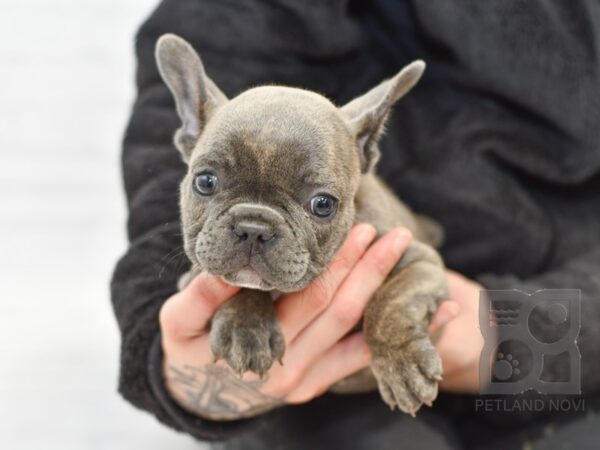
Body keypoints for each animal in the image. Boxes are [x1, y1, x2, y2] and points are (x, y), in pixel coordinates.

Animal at [157, 34, 448, 414]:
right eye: (205, 182)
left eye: (323, 204)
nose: (254, 227)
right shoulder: (192, 278)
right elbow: (240, 286)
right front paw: (245, 326)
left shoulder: (419, 260)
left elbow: (391, 301)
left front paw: (401, 362)